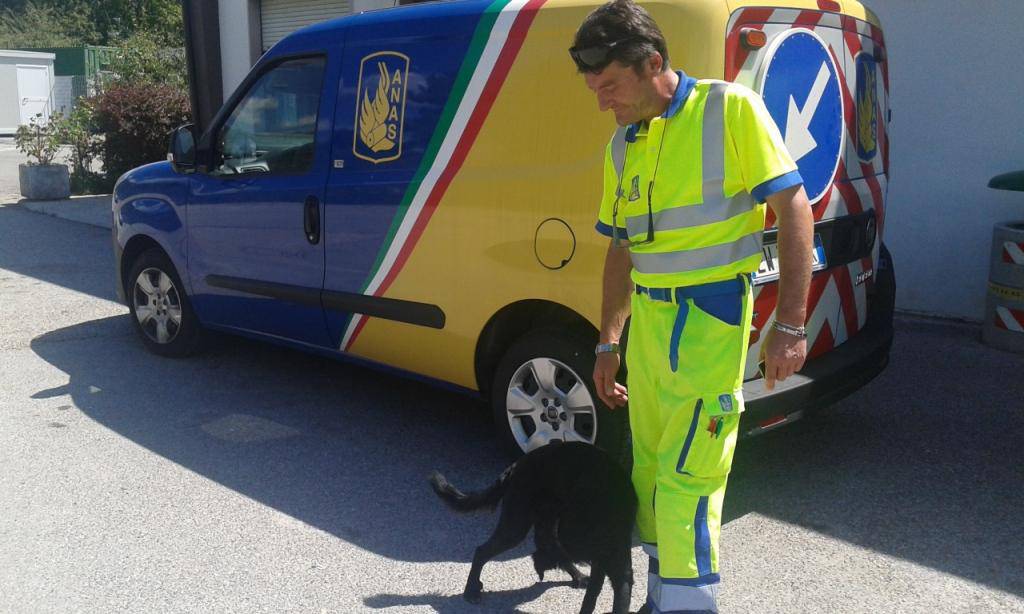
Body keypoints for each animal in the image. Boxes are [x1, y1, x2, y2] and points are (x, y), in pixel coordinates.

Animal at [428, 442, 634, 614]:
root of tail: (516, 465)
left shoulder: (614, 564)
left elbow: (600, 595)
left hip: (543, 517)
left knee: (548, 544)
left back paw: (575, 575)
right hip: (517, 524)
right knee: (484, 551)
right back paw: (471, 590)